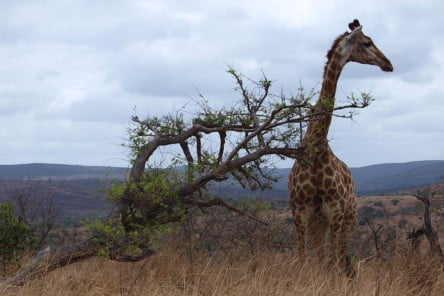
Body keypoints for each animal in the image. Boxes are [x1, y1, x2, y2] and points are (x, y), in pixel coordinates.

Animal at [288, 19, 392, 264]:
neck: (317, 147)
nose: (388, 64)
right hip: (318, 224)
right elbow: (303, 260)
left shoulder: (335, 212)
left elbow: (332, 262)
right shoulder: (300, 214)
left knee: (341, 257)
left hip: (349, 218)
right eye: (367, 42)